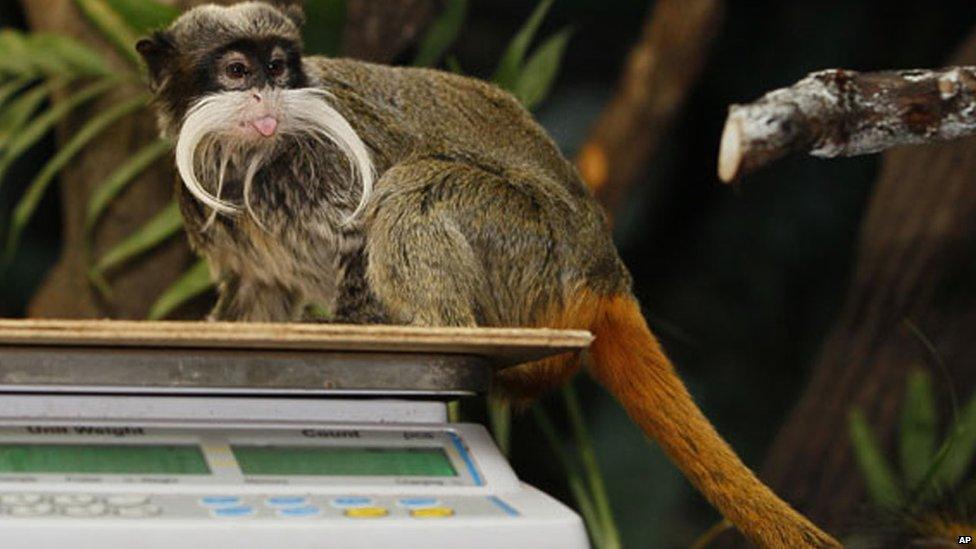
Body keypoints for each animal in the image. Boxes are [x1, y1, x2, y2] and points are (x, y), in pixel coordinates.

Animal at [135, 2, 840, 544]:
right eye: (237, 71)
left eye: (278, 66)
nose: (268, 94)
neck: (254, 163)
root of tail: (605, 271)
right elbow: (262, 296)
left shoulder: (332, 162)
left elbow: (363, 236)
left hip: (531, 244)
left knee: (413, 192)